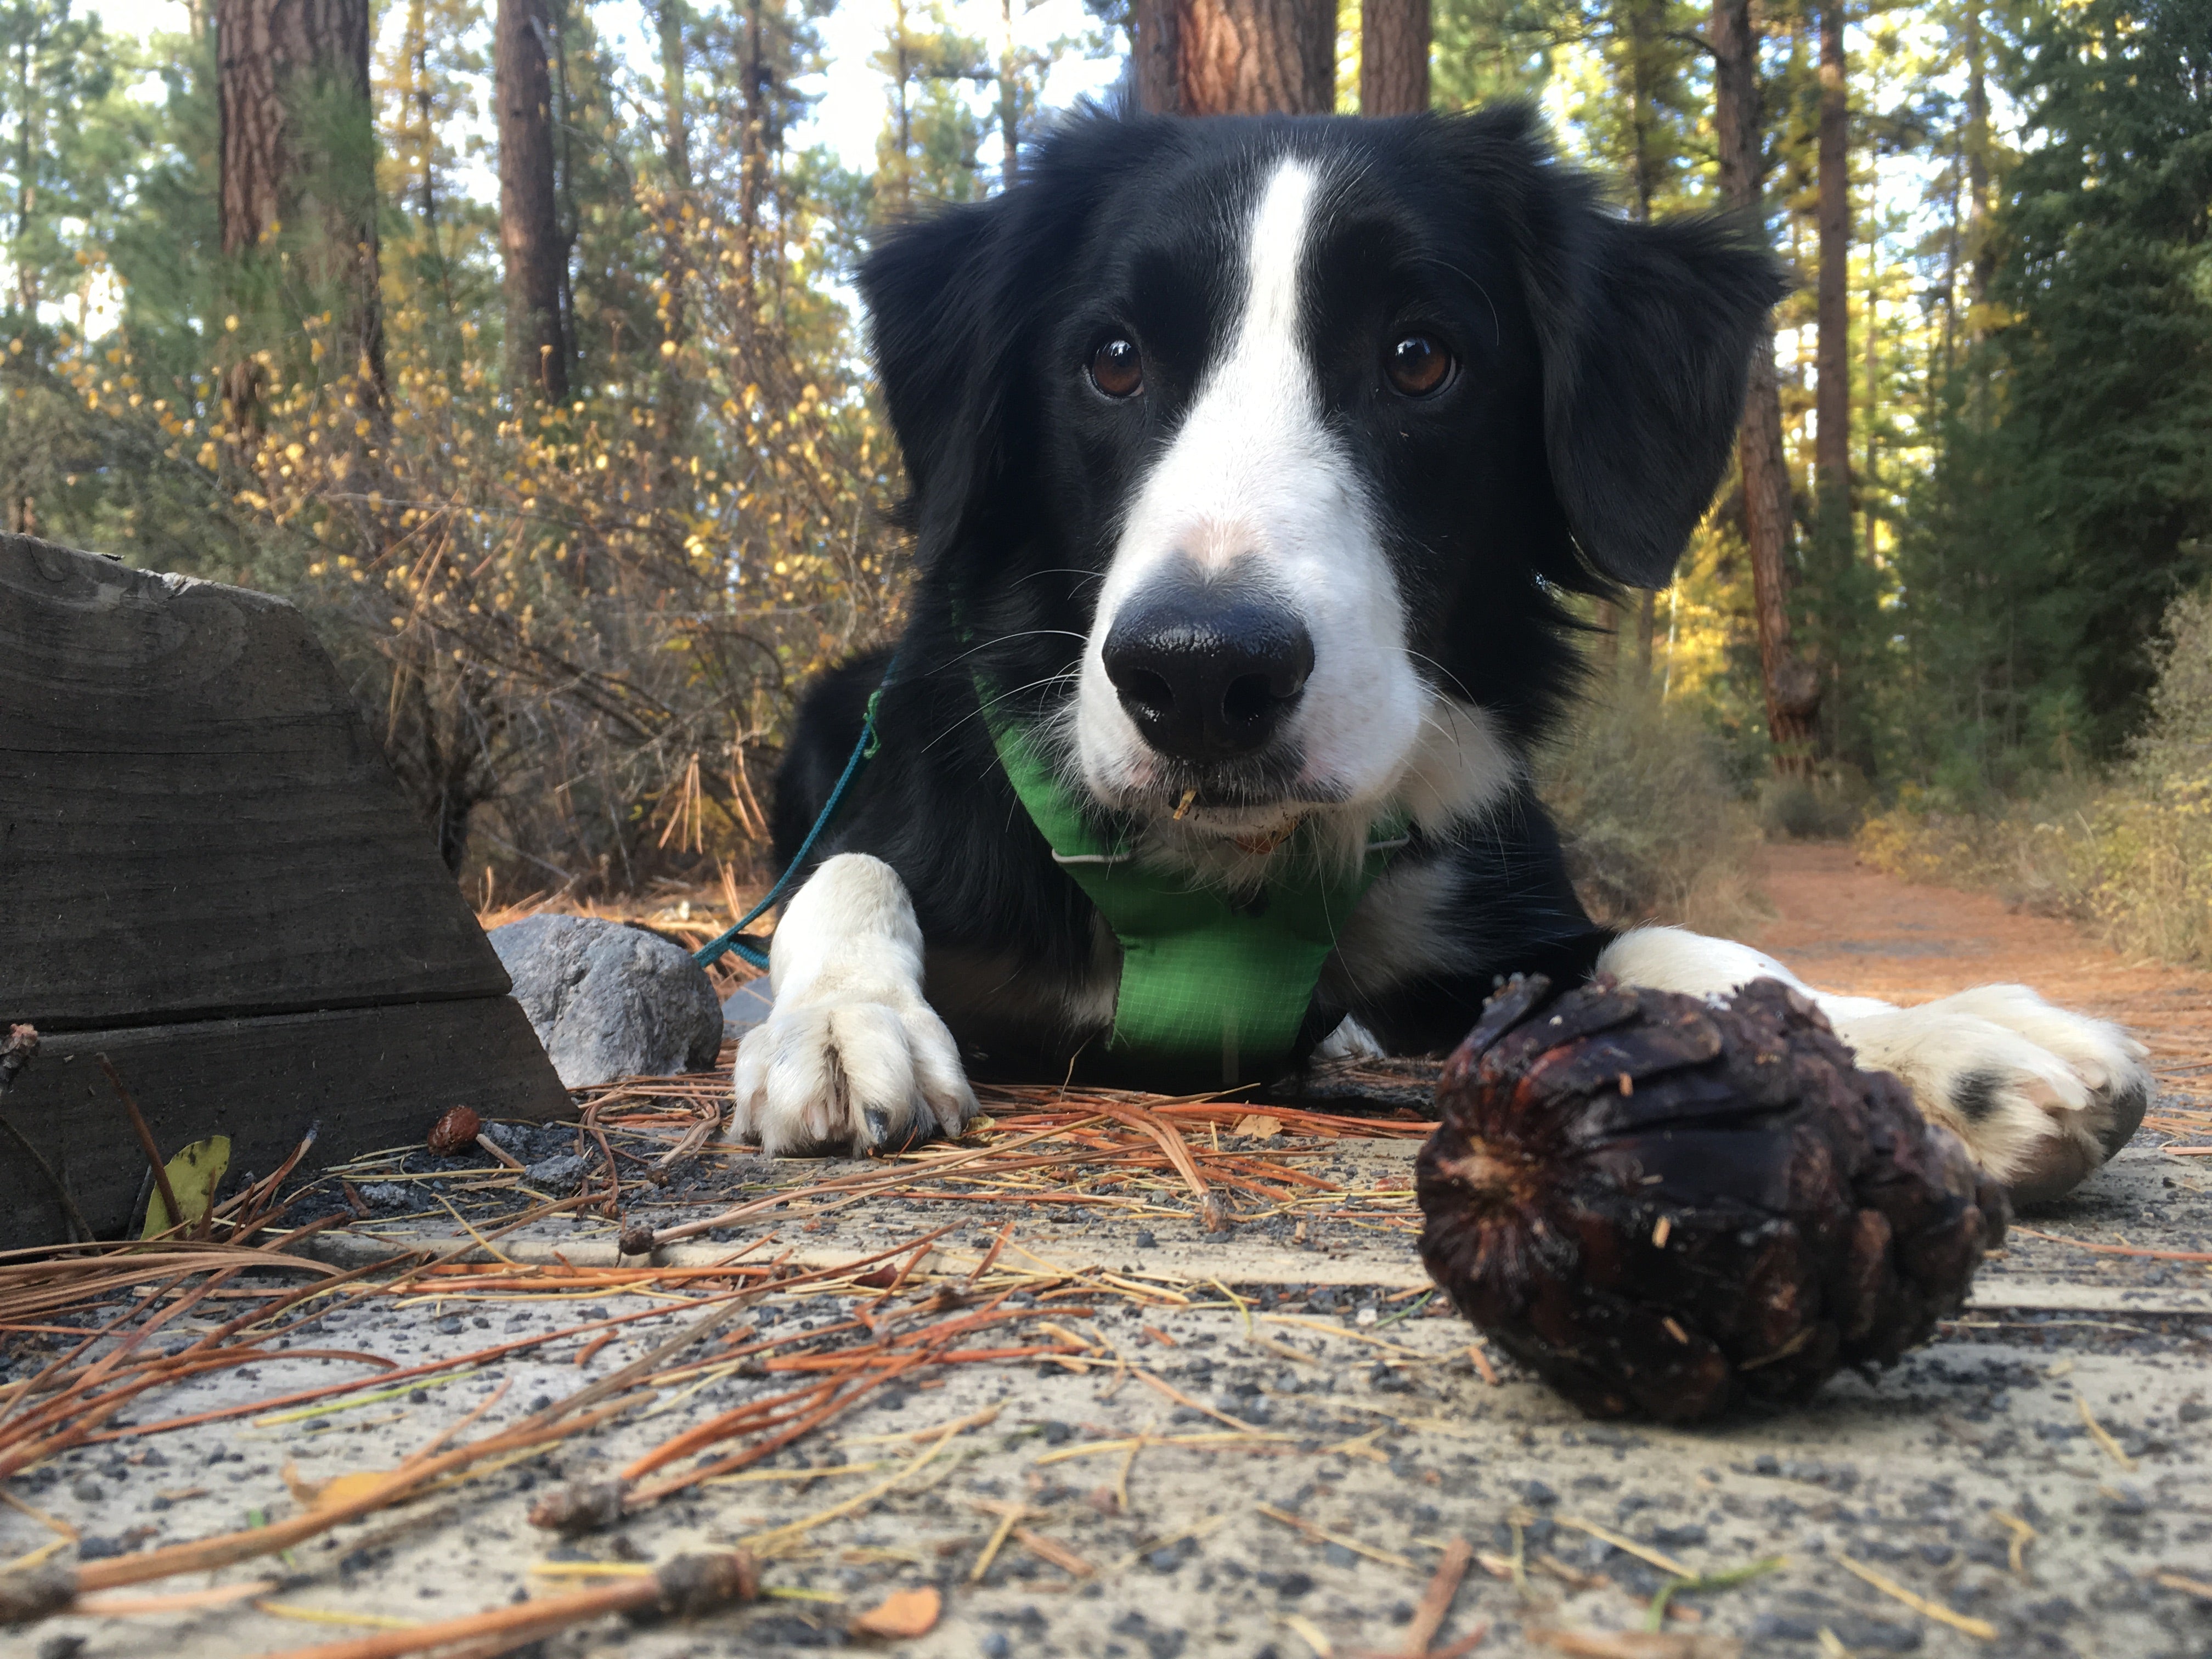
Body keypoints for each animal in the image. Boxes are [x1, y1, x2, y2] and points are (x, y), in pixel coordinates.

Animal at [734, 107, 2150, 1212]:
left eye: (1421, 359)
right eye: (1114, 359)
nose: (1200, 679)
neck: (1231, 878)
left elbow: (1682, 946)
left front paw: (1930, 1042)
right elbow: (851, 870)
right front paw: (844, 1022)